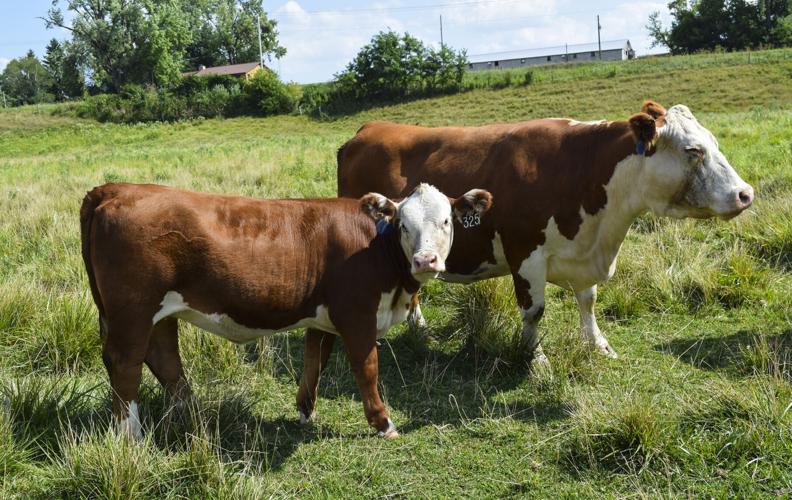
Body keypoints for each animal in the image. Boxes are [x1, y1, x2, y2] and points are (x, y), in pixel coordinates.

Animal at [80, 182, 493, 439]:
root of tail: (116, 188)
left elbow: (315, 361)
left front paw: (305, 412)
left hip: (158, 313)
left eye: (446, 221)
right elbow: (367, 368)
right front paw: (383, 422)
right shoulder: (357, 315)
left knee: (164, 358)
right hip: (133, 310)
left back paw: (195, 416)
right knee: (126, 364)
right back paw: (131, 436)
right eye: (403, 225)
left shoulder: (324, 316)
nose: (426, 260)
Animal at [337, 101, 754, 370]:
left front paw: (598, 344)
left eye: (713, 142)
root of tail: (371, 127)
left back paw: (421, 330)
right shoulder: (526, 254)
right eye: (692, 150)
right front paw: (535, 360)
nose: (745, 194)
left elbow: (588, 300)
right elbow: (534, 310)